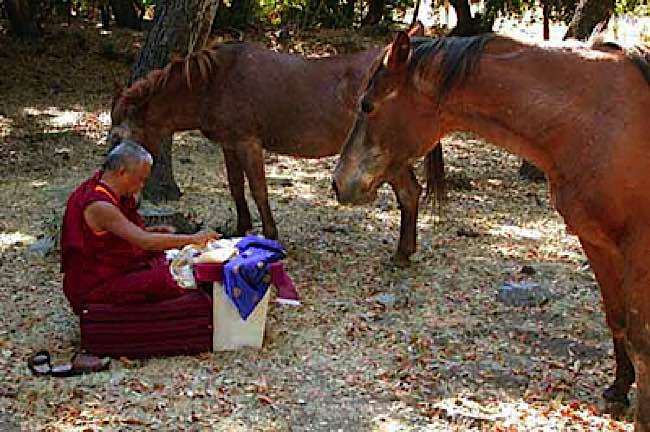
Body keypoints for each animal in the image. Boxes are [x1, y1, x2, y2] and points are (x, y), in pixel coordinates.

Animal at [109, 31, 442, 264]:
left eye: (116, 136)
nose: (114, 184)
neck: (215, 81)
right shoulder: (230, 145)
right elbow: (236, 186)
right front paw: (240, 228)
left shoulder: (248, 143)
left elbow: (258, 189)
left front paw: (270, 235)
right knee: (411, 194)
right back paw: (404, 252)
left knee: (409, 194)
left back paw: (402, 253)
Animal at [334, 33, 648, 428]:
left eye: (367, 105)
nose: (339, 182)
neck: (599, 122)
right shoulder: (596, 241)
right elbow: (616, 318)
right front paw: (619, 389)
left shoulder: (638, 249)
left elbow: (641, 339)